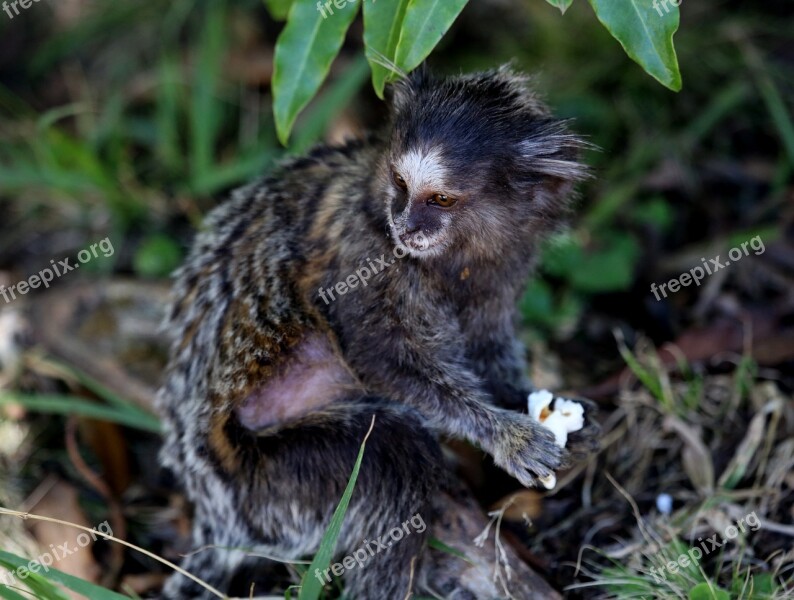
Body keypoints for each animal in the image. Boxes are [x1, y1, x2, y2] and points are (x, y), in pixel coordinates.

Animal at [159, 68, 592, 596]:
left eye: (441, 199)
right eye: (400, 184)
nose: (405, 225)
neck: (452, 258)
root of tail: (212, 508)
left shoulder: (506, 265)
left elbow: (486, 346)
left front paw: (533, 403)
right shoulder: (362, 253)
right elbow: (378, 357)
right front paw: (505, 435)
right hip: (270, 482)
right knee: (397, 454)